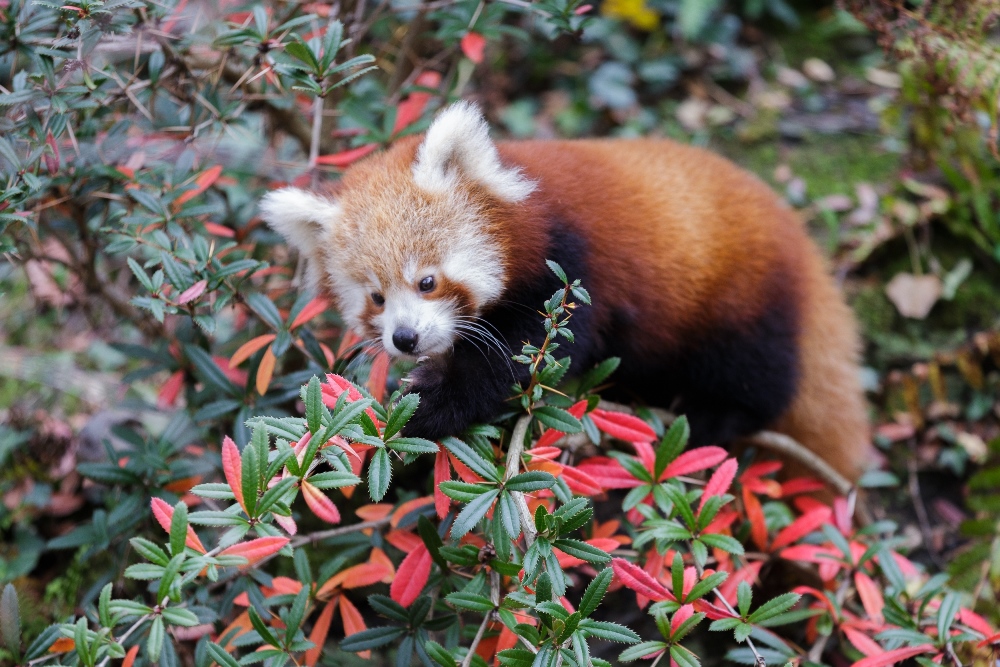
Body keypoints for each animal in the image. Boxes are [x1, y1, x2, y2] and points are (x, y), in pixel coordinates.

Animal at [262, 102, 872, 482]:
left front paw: (426, 405)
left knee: (757, 378)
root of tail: (804, 249)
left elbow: (526, 354)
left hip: (744, 299)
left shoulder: (573, 268)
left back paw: (710, 419)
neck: (531, 213)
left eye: (427, 281)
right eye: (376, 299)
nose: (406, 340)